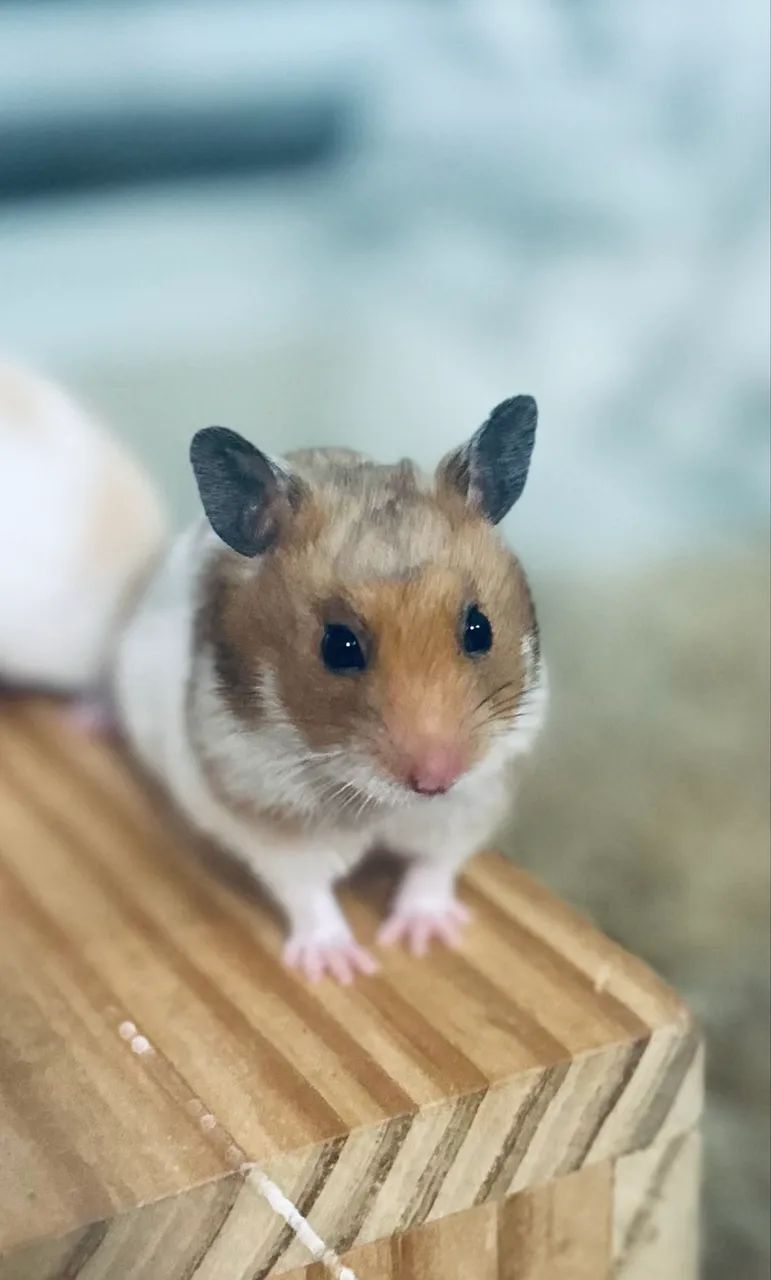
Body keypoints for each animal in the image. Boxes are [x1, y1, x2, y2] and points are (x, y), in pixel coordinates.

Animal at [114, 396, 547, 983]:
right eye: (338, 647)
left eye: (479, 629)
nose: (437, 780)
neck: (379, 802)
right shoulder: (271, 816)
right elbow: (309, 894)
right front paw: (343, 968)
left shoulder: (476, 796)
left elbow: (435, 866)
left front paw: (424, 938)